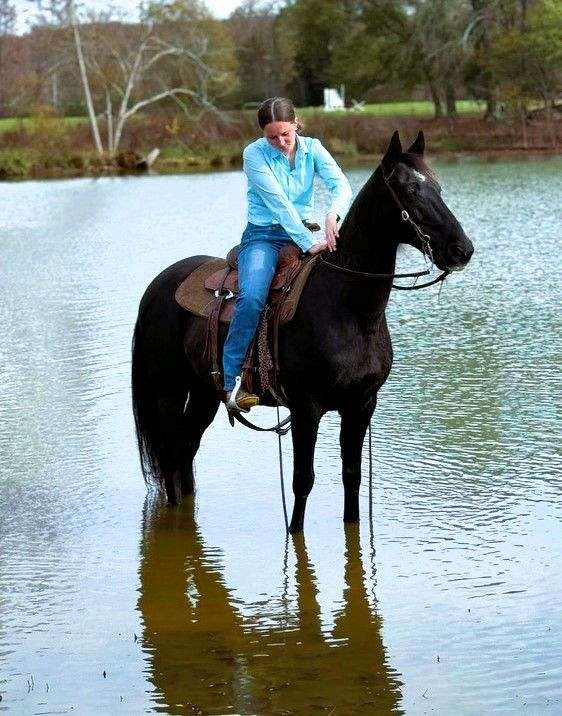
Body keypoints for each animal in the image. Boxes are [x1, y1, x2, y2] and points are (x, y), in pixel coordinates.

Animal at [131, 131, 472, 532]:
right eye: (410, 190)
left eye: (437, 187)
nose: (461, 249)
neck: (349, 309)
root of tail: (157, 286)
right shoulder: (307, 409)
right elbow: (302, 481)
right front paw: (294, 531)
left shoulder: (361, 405)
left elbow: (352, 477)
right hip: (167, 392)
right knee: (170, 453)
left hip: (204, 393)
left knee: (185, 450)